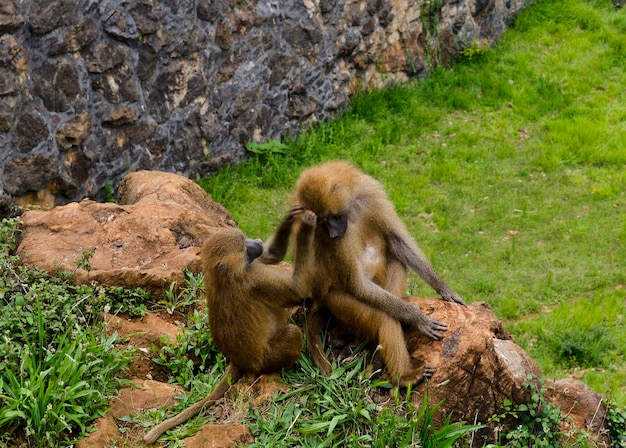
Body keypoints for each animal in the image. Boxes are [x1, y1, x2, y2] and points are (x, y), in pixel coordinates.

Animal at [143, 211, 314, 444]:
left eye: (247, 241)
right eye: (245, 247)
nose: (257, 242)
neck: (221, 274)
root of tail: (237, 359)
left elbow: (272, 256)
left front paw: (293, 215)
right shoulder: (253, 276)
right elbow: (300, 290)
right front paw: (307, 225)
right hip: (264, 359)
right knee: (292, 334)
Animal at [262, 160, 464, 384]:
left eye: (330, 216)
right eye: (322, 220)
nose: (333, 233)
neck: (351, 208)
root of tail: (319, 300)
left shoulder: (371, 196)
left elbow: (398, 242)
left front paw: (444, 290)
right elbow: (356, 284)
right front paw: (416, 317)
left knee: (395, 262)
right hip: (335, 300)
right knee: (385, 317)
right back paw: (405, 376)